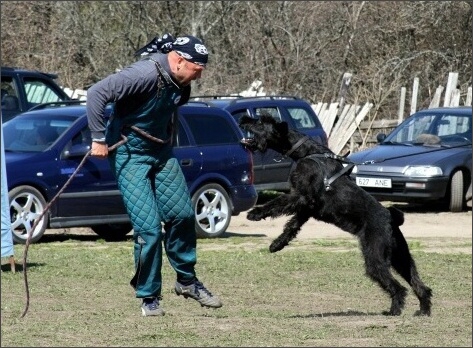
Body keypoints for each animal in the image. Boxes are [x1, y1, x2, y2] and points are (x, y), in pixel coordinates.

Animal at [240, 114, 432, 316]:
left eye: (261, 122)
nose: (243, 118)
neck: (306, 152)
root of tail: (392, 219)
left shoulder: (302, 197)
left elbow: (278, 203)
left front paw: (255, 213)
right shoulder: (308, 207)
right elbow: (293, 225)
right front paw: (277, 244)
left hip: (376, 257)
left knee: (398, 287)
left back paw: (394, 310)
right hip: (401, 258)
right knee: (420, 284)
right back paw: (423, 311)